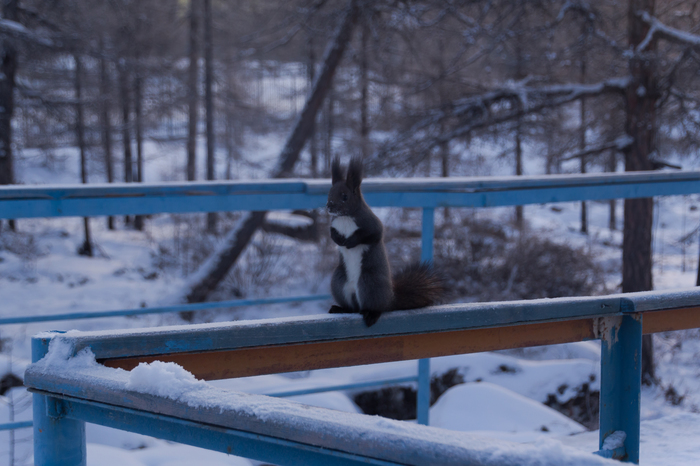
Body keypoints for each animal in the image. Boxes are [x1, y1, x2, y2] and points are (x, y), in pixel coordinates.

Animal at [326, 158, 446, 326]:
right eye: (329, 193)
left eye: (345, 196)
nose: (329, 206)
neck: (345, 217)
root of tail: (390, 299)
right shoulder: (334, 224)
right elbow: (332, 234)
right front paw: (339, 240)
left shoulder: (371, 224)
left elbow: (372, 235)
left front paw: (350, 242)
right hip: (339, 282)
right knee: (353, 308)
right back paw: (341, 308)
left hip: (369, 283)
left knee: (376, 307)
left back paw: (371, 314)